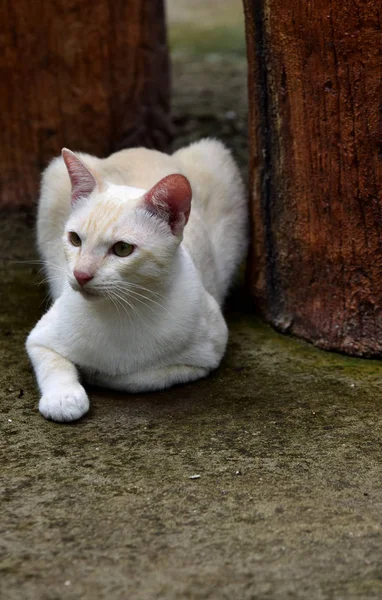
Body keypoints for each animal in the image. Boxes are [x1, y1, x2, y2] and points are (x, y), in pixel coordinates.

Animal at [26, 140, 248, 422]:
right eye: (75, 239)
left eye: (122, 249)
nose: (81, 274)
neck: (120, 311)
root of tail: (140, 148)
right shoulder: (39, 338)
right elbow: (54, 362)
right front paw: (64, 399)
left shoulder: (203, 359)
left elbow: (135, 379)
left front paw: (95, 373)